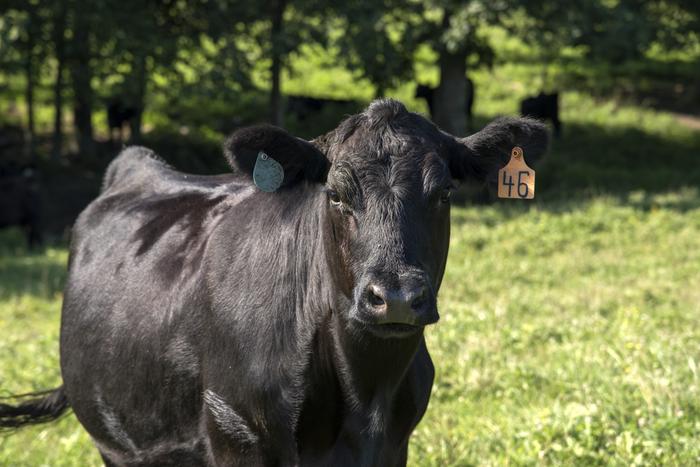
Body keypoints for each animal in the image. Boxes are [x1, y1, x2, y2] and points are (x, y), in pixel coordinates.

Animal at [0, 99, 547, 466]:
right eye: (336, 195)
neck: (364, 393)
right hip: (116, 444)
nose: (394, 298)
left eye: (444, 193)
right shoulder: (236, 432)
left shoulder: (396, 443)